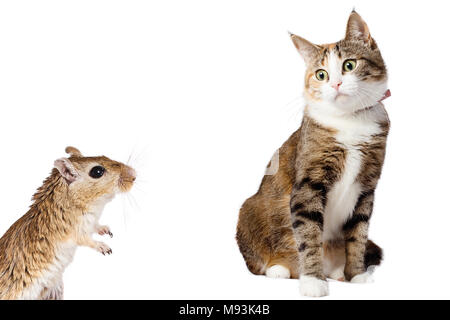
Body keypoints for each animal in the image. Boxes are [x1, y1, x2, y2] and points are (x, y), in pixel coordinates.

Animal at [236, 12, 390, 298]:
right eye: (321, 74)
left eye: (349, 65)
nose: (336, 83)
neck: (350, 120)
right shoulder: (308, 183)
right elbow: (308, 235)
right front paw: (312, 281)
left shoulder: (367, 185)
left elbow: (359, 234)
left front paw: (356, 274)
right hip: (248, 209)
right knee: (259, 260)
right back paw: (280, 268)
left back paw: (338, 271)